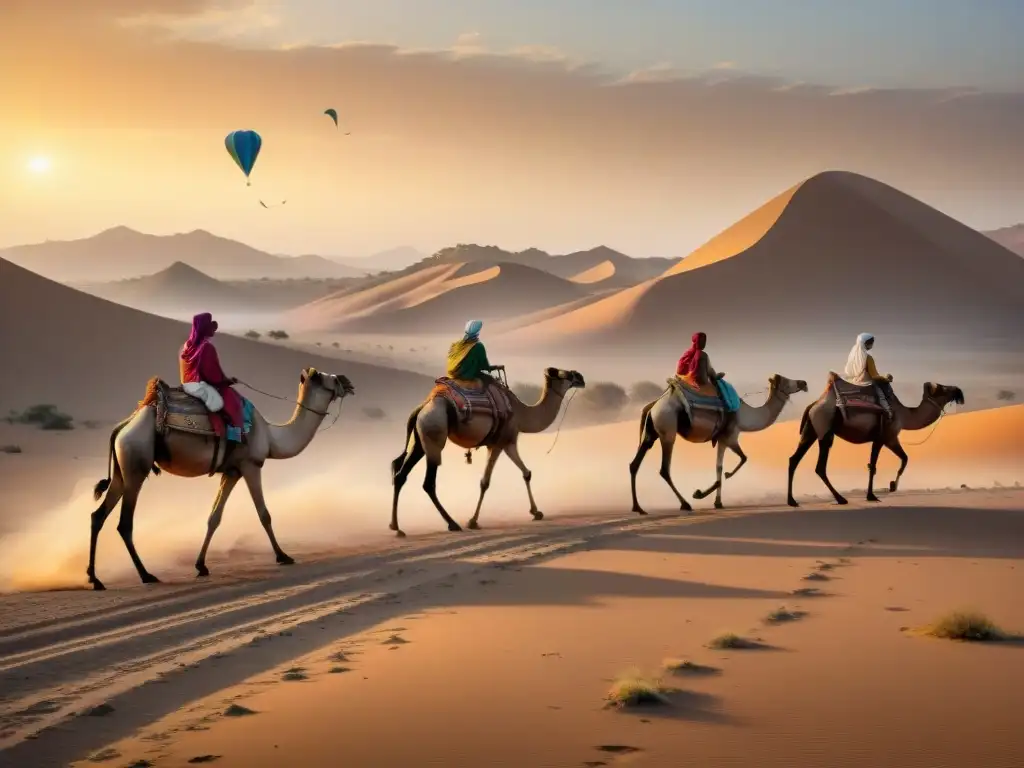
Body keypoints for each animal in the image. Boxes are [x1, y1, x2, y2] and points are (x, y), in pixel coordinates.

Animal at [89, 370, 360, 593]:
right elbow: (264, 514)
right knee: (124, 523)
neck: (271, 436)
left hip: (123, 470)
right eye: (325, 377)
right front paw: (283, 556)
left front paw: (201, 566)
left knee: (98, 515)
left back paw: (95, 579)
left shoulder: (231, 472)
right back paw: (146, 575)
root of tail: (123, 426)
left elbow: (214, 518)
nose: (347, 382)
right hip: (136, 463)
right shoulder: (251, 465)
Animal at [389, 364, 585, 536]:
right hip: (434, 431)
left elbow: (526, 473)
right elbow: (485, 482)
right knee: (428, 483)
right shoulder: (500, 442)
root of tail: (421, 408)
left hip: (420, 440)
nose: (580, 377)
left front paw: (536, 512)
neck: (521, 413)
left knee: (400, 475)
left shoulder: (508, 442)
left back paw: (396, 527)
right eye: (563, 374)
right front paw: (473, 521)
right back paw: (452, 524)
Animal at [630, 376, 806, 514]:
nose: (803, 383)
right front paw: (701, 493)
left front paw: (718, 502)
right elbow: (743, 459)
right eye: (786, 381)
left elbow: (719, 467)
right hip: (668, 430)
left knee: (635, 464)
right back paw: (685, 504)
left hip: (651, 433)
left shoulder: (721, 439)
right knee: (664, 469)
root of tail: (652, 406)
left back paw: (638, 508)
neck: (744, 415)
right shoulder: (730, 437)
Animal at [786, 376, 962, 507]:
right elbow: (875, 466)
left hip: (811, 430)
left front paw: (891, 486)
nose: (958, 391)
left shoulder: (890, 439)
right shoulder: (884, 437)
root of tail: (812, 405)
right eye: (942, 388)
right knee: (820, 467)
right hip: (825, 429)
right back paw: (840, 498)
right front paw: (873, 495)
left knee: (794, 459)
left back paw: (792, 501)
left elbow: (904, 458)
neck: (904, 415)